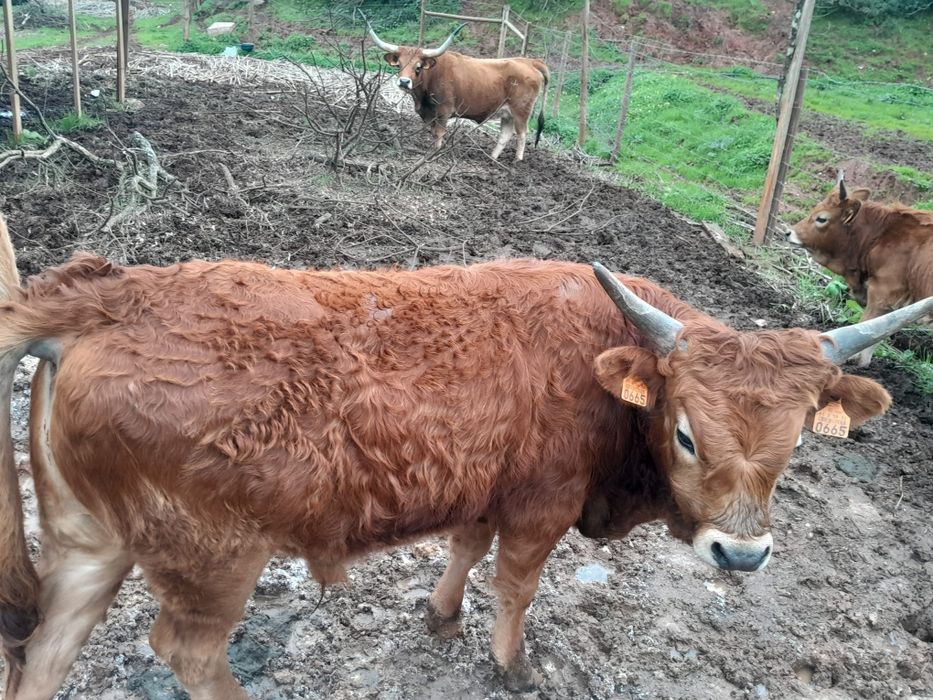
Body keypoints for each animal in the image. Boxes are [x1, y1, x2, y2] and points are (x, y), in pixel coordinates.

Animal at [0, 212, 929, 699]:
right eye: (687, 433)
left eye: (799, 436)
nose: (740, 553)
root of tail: (110, 293)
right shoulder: (543, 503)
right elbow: (515, 586)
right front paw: (509, 663)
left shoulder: (484, 486)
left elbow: (464, 546)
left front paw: (441, 615)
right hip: (211, 557)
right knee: (185, 649)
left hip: (92, 543)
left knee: (46, 647)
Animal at [366, 21, 549, 161]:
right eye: (399, 65)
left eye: (418, 67)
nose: (404, 82)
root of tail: (529, 61)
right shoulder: (429, 114)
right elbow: (432, 132)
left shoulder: (443, 111)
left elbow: (438, 134)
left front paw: (435, 153)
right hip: (507, 112)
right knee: (505, 135)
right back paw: (492, 158)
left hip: (521, 111)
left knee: (522, 134)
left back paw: (517, 160)